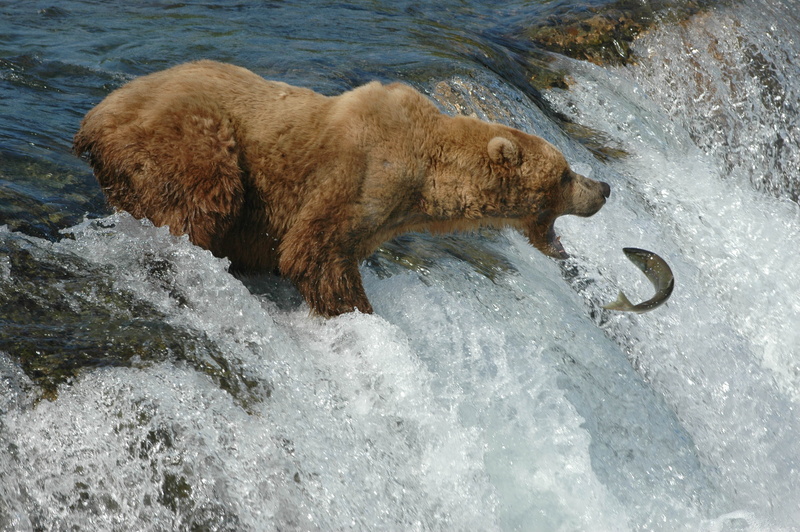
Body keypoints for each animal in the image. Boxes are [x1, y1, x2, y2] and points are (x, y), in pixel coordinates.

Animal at [74, 60, 610, 317]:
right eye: (565, 174)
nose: (603, 187)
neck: (427, 178)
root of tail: (92, 119)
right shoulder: (359, 177)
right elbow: (315, 251)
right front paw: (356, 311)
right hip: (189, 137)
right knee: (206, 197)